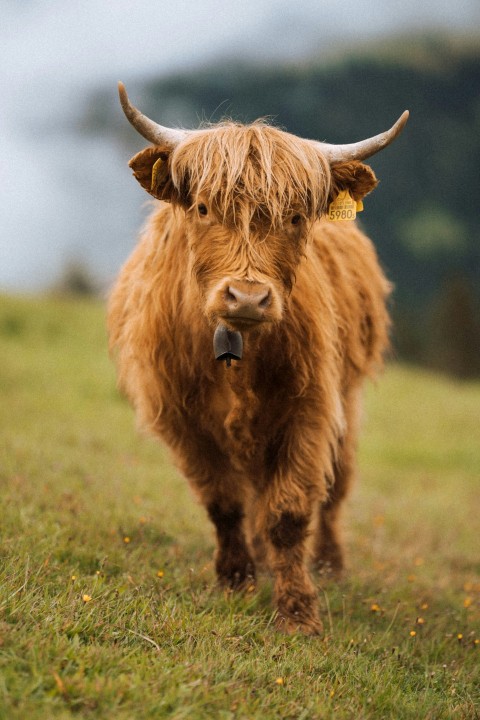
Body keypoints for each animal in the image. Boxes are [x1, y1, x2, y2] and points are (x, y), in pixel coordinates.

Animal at [109, 84, 408, 632]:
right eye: (203, 207)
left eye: (295, 217)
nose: (247, 297)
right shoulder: (181, 418)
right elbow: (224, 502)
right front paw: (236, 581)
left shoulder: (309, 411)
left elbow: (289, 513)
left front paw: (298, 611)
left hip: (347, 403)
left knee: (335, 488)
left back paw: (328, 564)